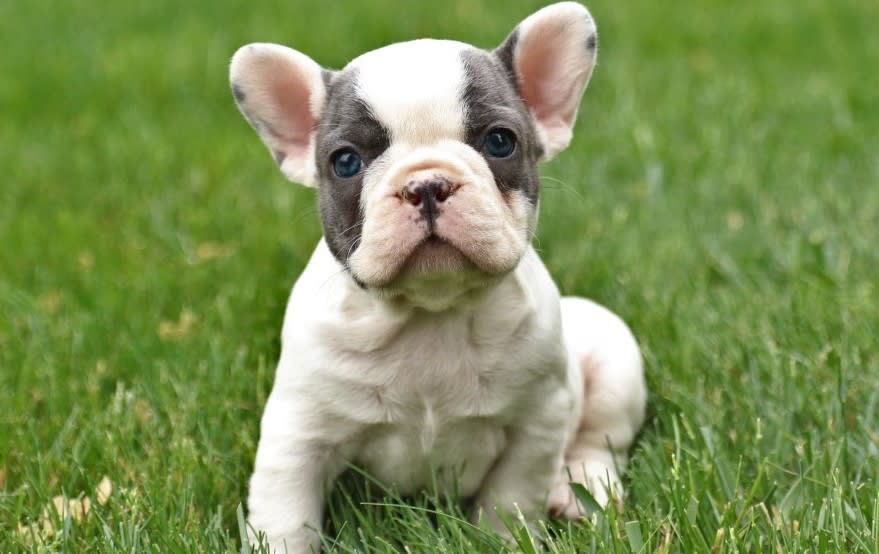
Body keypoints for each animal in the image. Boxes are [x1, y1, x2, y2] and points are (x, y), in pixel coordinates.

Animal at [230, 3, 648, 548]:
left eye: (500, 141)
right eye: (346, 161)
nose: (427, 184)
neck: (431, 314)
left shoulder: (534, 428)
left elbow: (510, 501)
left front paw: (504, 542)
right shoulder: (299, 434)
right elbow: (285, 519)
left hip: (615, 357)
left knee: (601, 440)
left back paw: (581, 491)